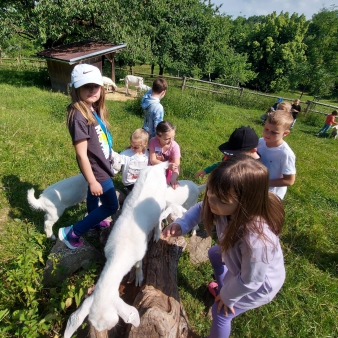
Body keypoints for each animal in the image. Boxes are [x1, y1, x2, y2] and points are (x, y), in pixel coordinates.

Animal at [63, 161, 168, 338]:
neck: (120, 253)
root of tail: (157, 167)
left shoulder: (139, 252)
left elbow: (138, 265)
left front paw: (138, 278)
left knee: (160, 218)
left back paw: (157, 233)